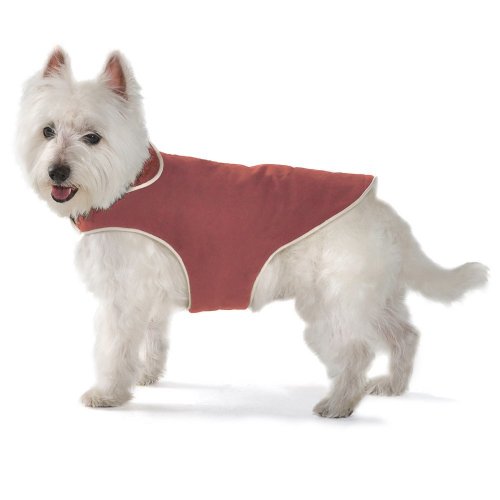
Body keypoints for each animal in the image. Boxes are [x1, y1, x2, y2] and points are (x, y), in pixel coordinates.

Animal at [17, 48, 488, 418]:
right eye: (47, 131)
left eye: (93, 137)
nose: (57, 172)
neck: (127, 184)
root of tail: (381, 210)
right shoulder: (149, 293)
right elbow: (152, 336)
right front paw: (148, 374)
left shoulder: (122, 293)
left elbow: (113, 347)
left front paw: (109, 393)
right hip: (374, 296)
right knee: (404, 333)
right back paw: (393, 386)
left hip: (336, 301)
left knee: (355, 349)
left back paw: (339, 404)